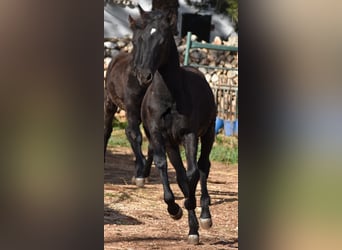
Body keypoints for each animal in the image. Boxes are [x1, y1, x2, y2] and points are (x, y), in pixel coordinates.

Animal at [128, 7, 216, 244]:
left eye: (162, 40)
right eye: (139, 39)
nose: (143, 75)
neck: (169, 97)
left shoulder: (190, 135)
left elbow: (193, 172)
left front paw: (192, 209)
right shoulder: (158, 135)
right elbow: (164, 166)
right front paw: (175, 209)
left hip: (208, 134)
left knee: (203, 167)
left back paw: (204, 215)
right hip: (172, 145)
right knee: (180, 173)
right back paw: (191, 221)